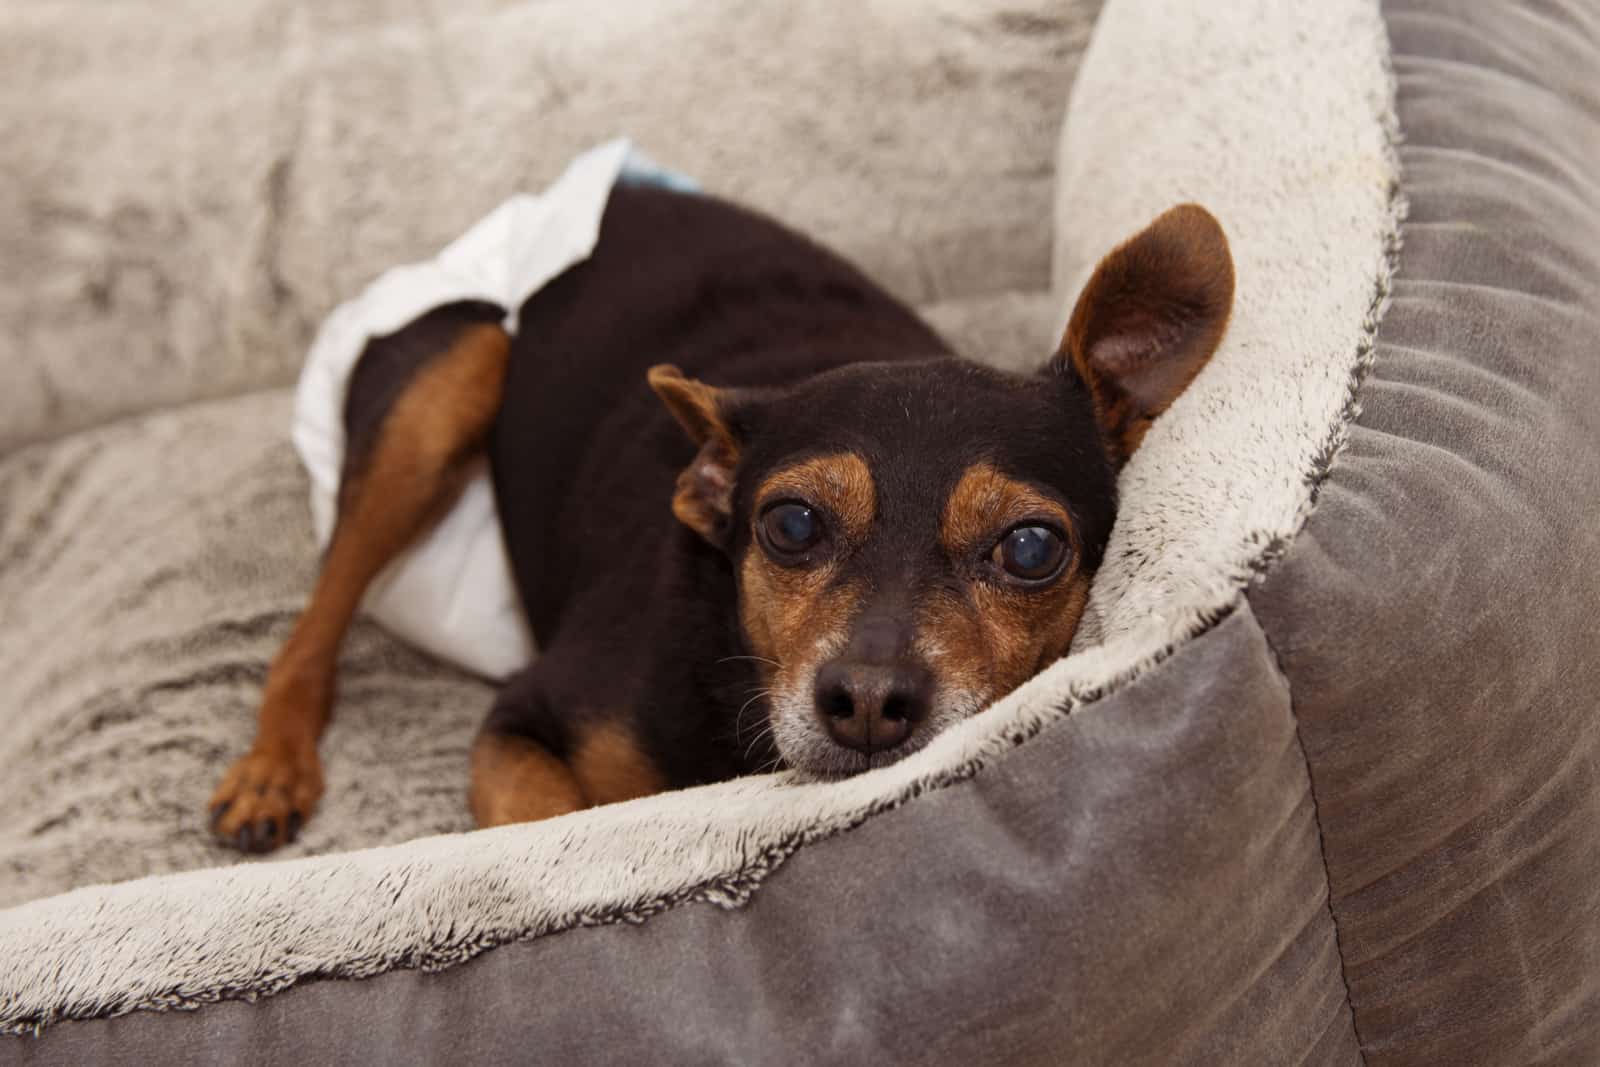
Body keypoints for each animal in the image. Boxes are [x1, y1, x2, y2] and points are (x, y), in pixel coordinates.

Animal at [209, 181, 1235, 851]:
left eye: (1029, 547)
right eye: (791, 526)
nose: (869, 700)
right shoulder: (522, 721)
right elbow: (558, 830)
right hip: (448, 378)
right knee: (315, 621)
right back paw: (270, 771)